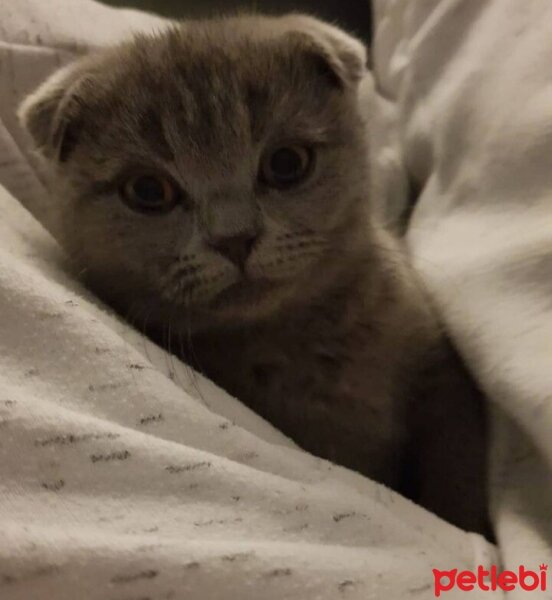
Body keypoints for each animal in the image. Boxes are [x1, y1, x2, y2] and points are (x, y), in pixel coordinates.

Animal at [19, 12, 490, 536]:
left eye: (286, 163)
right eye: (148, 190)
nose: (234, 238)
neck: (302, 340)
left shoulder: (441, 372)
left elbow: (458, 464)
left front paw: (469, 526)